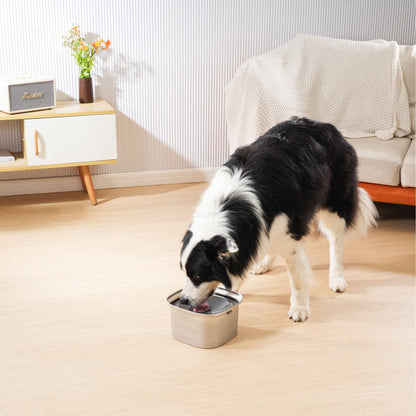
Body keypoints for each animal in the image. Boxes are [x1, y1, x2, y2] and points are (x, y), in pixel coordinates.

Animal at [179, 117, 376, 322]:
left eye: (198, 276)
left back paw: (337, 278)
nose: (184, 300)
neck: (231, 206)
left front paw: (299, 308)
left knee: (336, 242)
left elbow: (297, 278)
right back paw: (264, 264)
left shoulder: (290, 235)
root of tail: (324, 125)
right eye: (184, 271)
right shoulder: (261, 228)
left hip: (334, 204)